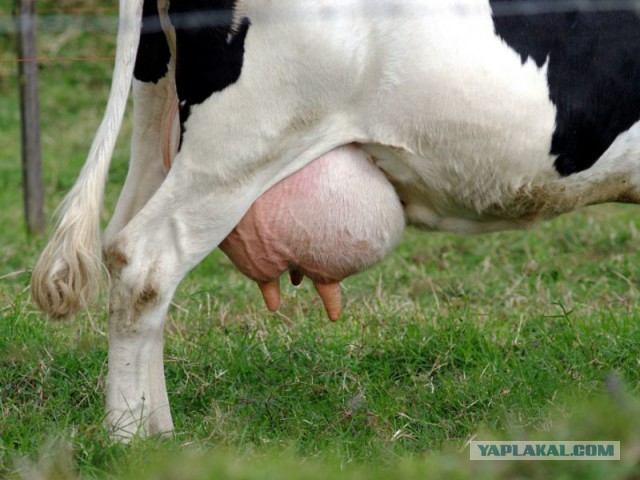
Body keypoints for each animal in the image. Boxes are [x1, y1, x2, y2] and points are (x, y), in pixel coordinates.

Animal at [31, 0, 640, 439]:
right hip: (239, 143)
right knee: (144, 260)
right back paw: (130, 439)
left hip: (161, 120)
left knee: (118, 245)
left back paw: (157, 430)